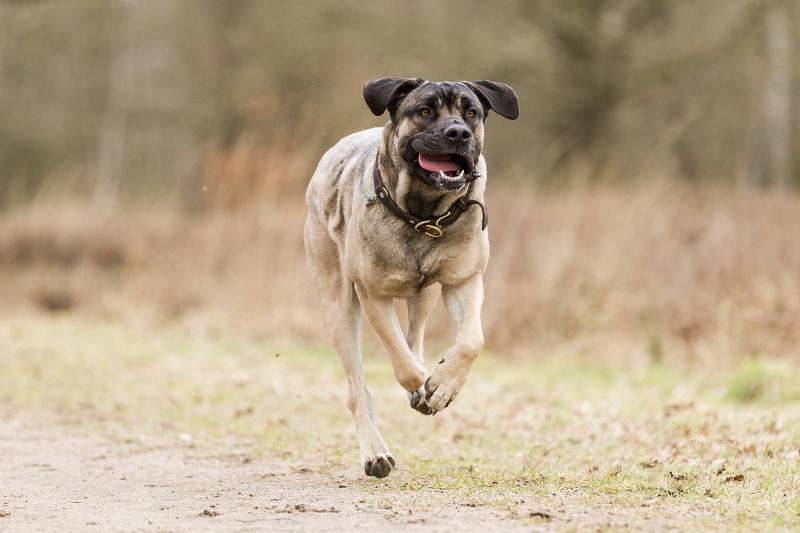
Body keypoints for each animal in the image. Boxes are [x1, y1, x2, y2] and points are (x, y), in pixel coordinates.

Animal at [304, 76, 520, 478]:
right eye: (423, 111)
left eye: (471, 113)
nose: (458, 133)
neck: (423, 212)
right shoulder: (372, 294)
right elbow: (401, 362)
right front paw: (424, 383)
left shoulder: (463, 282)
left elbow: (471, 342)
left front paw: (444, 386)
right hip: (337, 304)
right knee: (358, 385)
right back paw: (376, 452)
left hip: (426, 293)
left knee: (414, 334)